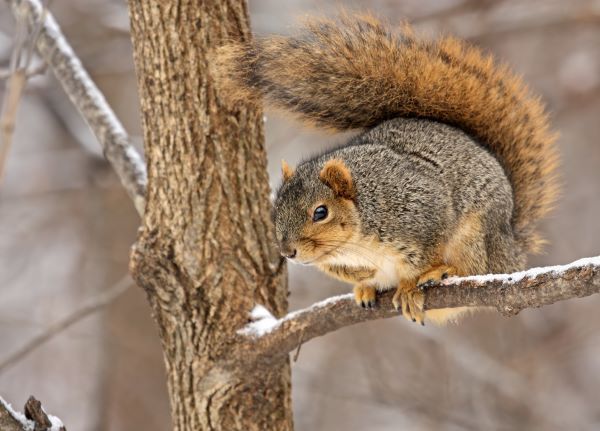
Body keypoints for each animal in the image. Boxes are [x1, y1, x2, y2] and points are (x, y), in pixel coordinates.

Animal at [214, 12, 556, 324]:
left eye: (321, 212)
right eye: (276, 209)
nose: (288, 252)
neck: (355, 240)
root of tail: (510, 249)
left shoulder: (422, 208)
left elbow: (420, 259)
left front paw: (409, 286)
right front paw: (365, 283)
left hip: (475, 235)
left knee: (476, 268)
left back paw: (445, 271)